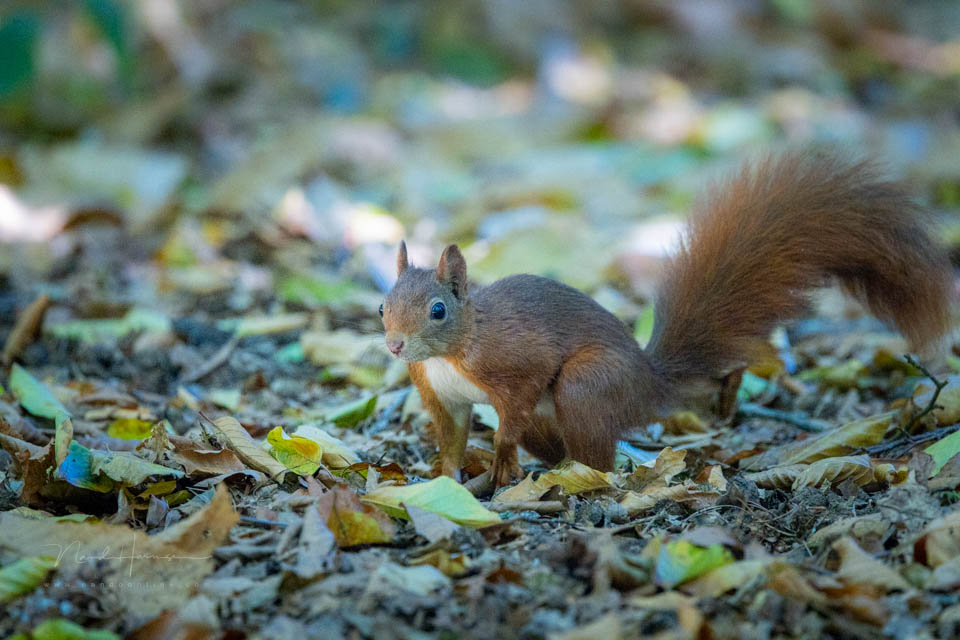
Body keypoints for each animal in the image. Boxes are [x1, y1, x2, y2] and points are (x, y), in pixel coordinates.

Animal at [379, 150, 954, 487]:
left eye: (438, 310)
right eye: (382, 306)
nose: (395, 346)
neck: (456, 350)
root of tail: (647, 383)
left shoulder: (517, 364)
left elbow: (511, 416)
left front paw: (500, 461)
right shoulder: (441, 396)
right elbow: (451, 440)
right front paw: (444, 478)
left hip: (585, 385)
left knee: (599, 457)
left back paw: (570, 477)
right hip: (557, 416)